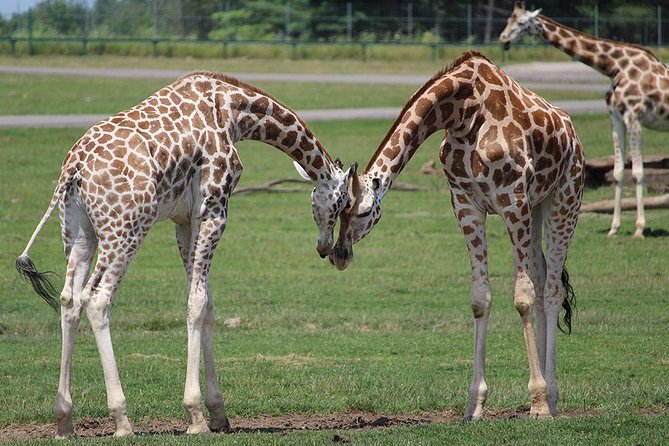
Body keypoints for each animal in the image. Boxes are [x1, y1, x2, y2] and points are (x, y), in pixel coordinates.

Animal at [16, 70, 354, 437]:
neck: (234, 112)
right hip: (126, 227)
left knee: (69, 300)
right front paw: (196, 416)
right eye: (342, 203)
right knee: (97, 299)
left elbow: (206, 302)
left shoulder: (184, 220)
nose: (328, 250)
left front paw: (218, 413)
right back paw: (122, 419)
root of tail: (73, 168)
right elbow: (197, 302)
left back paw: (64, 418)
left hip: (79, 232)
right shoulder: (214, 210)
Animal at [330, 51, 584, 420]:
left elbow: (522, 297)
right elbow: (480, 299)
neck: (464, 113)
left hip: (564, 198)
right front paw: (474, 405)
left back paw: (547, 397)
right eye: (338, 210)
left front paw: (537, 403)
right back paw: (550, 396)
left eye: (363, 212)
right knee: (542, 278)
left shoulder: (513, 201)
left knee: (550, 290)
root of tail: (572, 132)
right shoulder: (466, 204)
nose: (339, 255)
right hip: (537, 206)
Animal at [499, 1, 669, 238]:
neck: (615, 66)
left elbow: (637, 173)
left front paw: (639, 228)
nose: (503, 38)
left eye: (522, 22)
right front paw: (614, 227)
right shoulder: (616, 118)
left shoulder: (634, 116)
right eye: (509, 20)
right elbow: (618, 172)